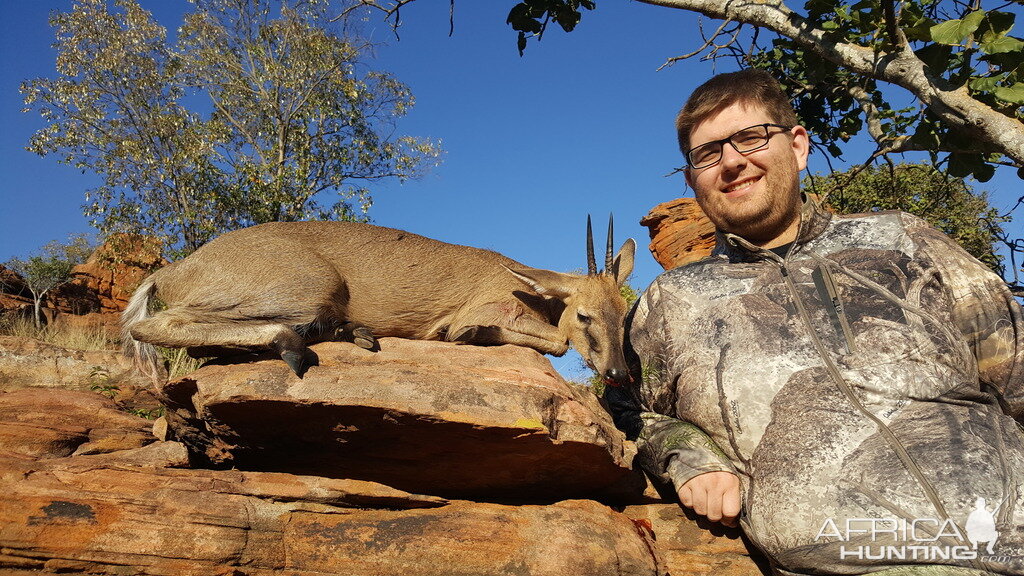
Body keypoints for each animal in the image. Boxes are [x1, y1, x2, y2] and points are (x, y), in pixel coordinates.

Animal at [119, 217, 630, 383]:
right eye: (584, 315)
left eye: (623, 314)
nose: (618, 374)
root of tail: (173, 270)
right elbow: (557, 342)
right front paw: (467, 333)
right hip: (309, 289)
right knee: (153, 327)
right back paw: (296, 345)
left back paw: (356, 333)